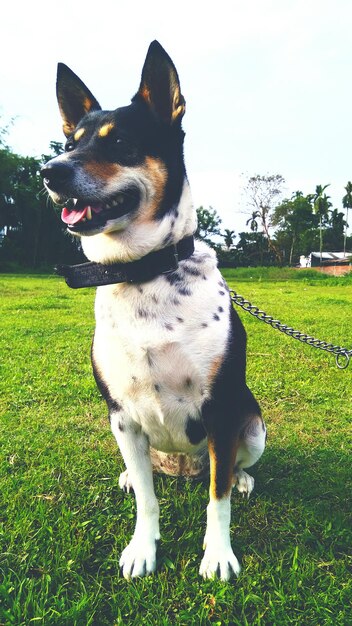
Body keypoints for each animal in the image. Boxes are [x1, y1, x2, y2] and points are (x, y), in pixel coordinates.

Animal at [41, 40, 266, 580]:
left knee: (233, 467)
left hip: (253, 424)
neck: (141, 272)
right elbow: (147, 500)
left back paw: (244, 479)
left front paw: (218, 554)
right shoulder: (121, 415)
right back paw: (130, 475)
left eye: (120, 143)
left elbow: (218, 499)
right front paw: (142, 548)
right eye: (71, 141)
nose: (50, 171)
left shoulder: (221, 409)